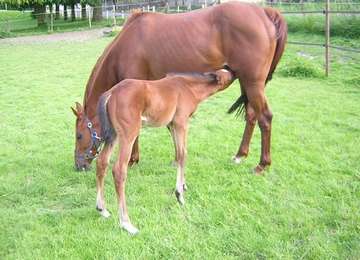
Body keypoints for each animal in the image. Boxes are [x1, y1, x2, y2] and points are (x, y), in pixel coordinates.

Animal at [71, 2, 288, 175]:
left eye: (79, 135)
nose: (78, 165)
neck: (126, 45)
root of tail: (265, 12)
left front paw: (133, 160)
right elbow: (170, 125)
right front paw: (176, 159)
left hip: (252, 82)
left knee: (265, 118)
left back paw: (262, 165)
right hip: (246, 82)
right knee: (251, 115)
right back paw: (240, 155)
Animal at [94, 69, 233, 234]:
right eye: (228, 74)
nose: (234, 72)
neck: (189, 87)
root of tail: (111, 93)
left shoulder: (171, 125)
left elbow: (179, 154)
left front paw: (183, 186)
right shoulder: (181, 122)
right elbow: (183, 154)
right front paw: (179, 195)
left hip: (113, 134)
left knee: (102, 162)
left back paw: (102, 209)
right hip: (129, 134)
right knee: (119, 170)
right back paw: (126, 223)